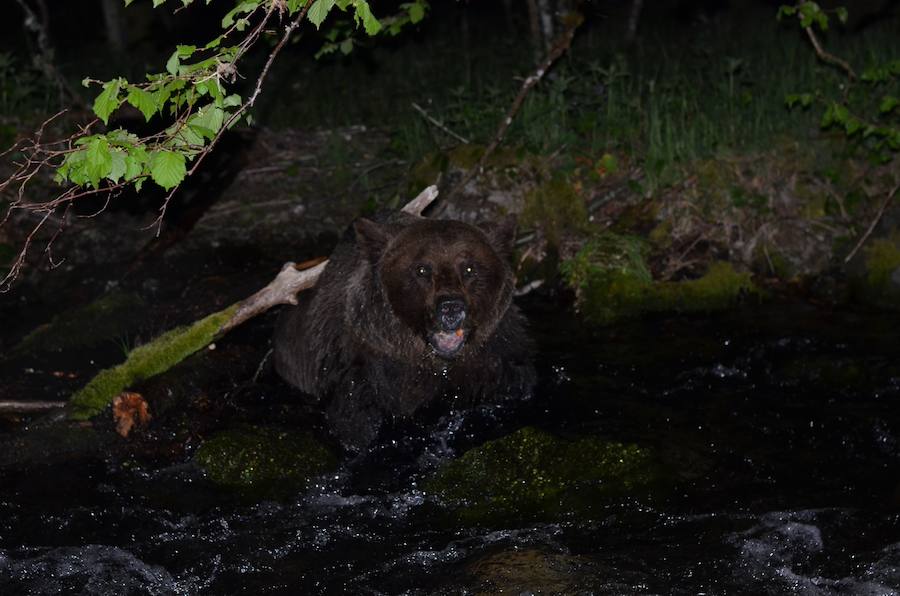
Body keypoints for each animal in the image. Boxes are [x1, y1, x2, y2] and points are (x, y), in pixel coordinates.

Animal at [274, 212, 536, 450]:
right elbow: (356, 424)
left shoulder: (498, 361)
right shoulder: (363, 374)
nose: (451, 308)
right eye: (422, 269)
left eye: (470, 268)